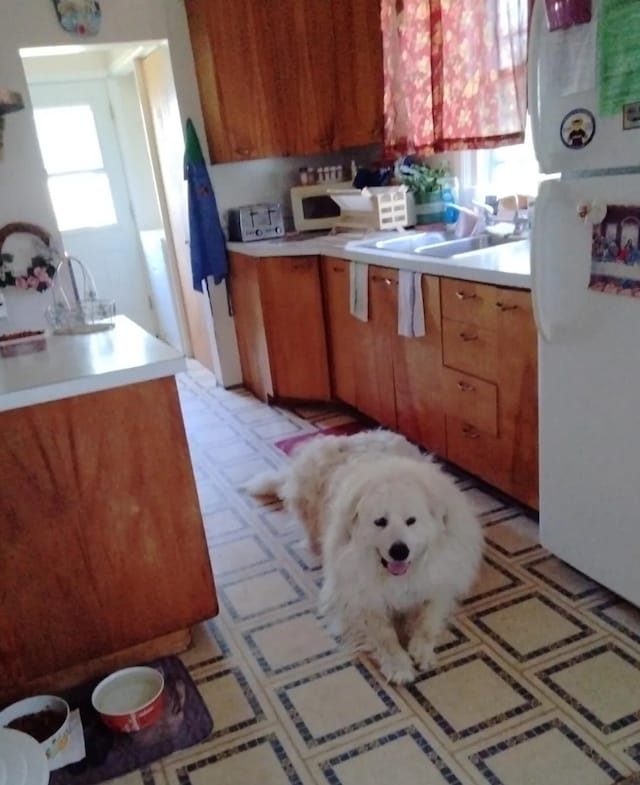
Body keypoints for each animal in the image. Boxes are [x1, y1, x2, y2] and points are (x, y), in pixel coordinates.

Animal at [246, 432, 484, 684]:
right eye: (380, 522)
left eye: (411, 521)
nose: (399, 551)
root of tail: (349, 437)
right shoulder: (358, 598)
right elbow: (384, 635)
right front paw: (398, 665)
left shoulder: (438, 583)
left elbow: (427, 620)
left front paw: (422, 651)